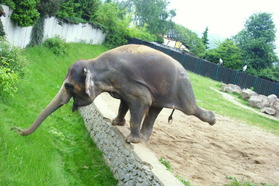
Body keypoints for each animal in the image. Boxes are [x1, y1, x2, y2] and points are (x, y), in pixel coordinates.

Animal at [10, 44, 217, 143]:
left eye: (68, 86)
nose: (14, 130)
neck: (95, 63)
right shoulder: (121, 85)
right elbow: (125, 102)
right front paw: (116, 123)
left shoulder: (127, 81)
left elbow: (142, 100)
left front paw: (131, 140)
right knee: (155, 109)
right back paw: (145, 138)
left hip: (182, 90)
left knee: (189, 109)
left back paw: (213, 119)